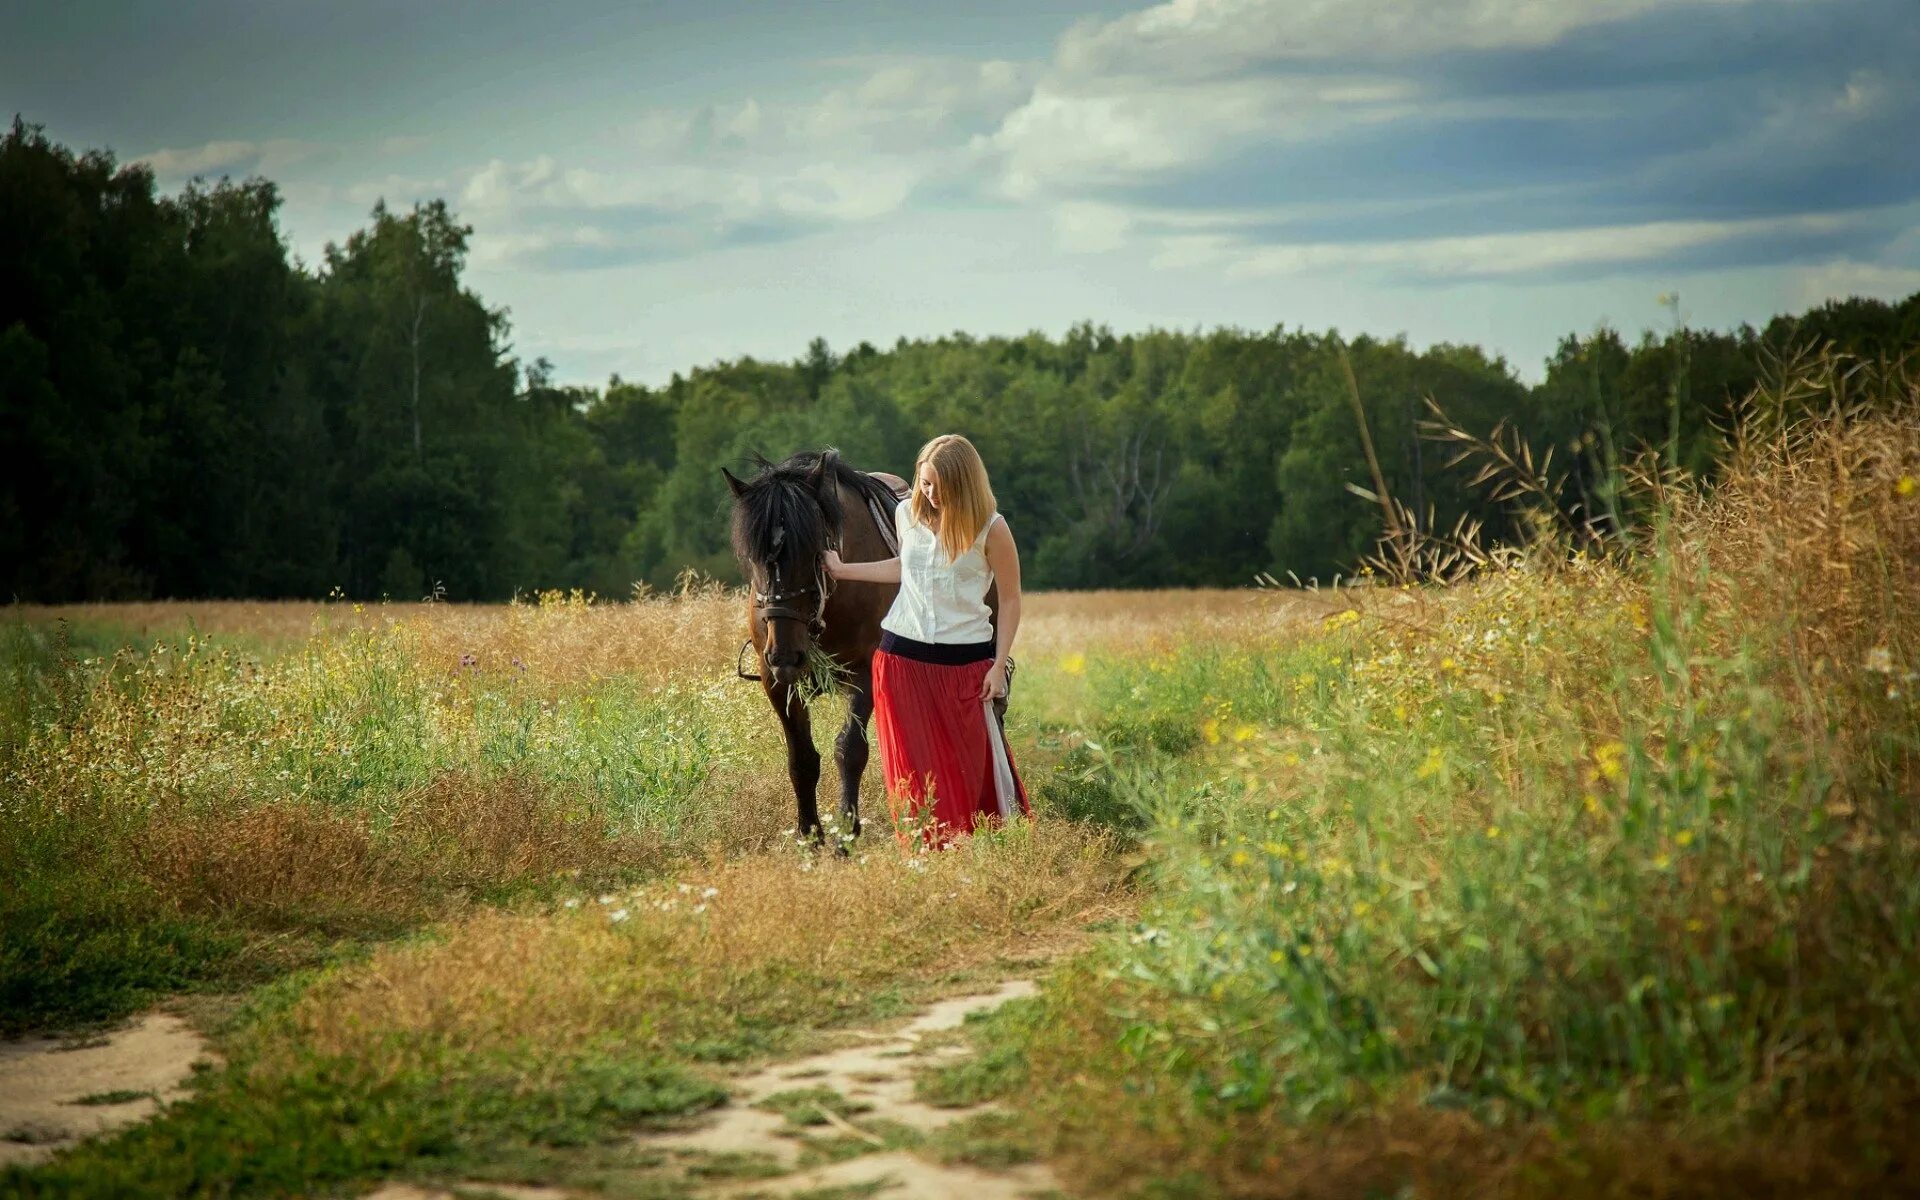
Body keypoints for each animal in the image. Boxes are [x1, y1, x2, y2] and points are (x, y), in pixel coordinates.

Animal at [721, 447, 910, 840]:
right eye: (753, 558)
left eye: (815, 551)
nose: (785, 655)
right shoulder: (778, 683)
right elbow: (802, 759)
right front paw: (809, 834)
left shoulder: (864, 673)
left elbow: (850, 750)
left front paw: (846, 833)